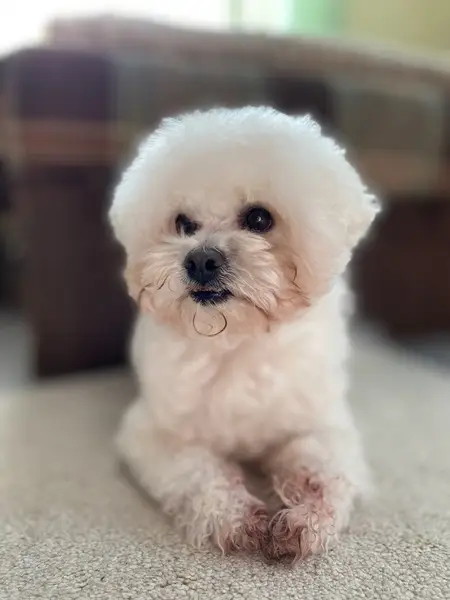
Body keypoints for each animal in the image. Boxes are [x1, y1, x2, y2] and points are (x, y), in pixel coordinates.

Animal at [109, 106, 379, 561]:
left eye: (258, 218)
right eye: (183, 223)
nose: (200, 260)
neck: (238, 339)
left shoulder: (321, 424)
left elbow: (325, 473)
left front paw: (307, 519)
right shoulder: (156, 434)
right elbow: (201, 472)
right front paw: (235, 518)